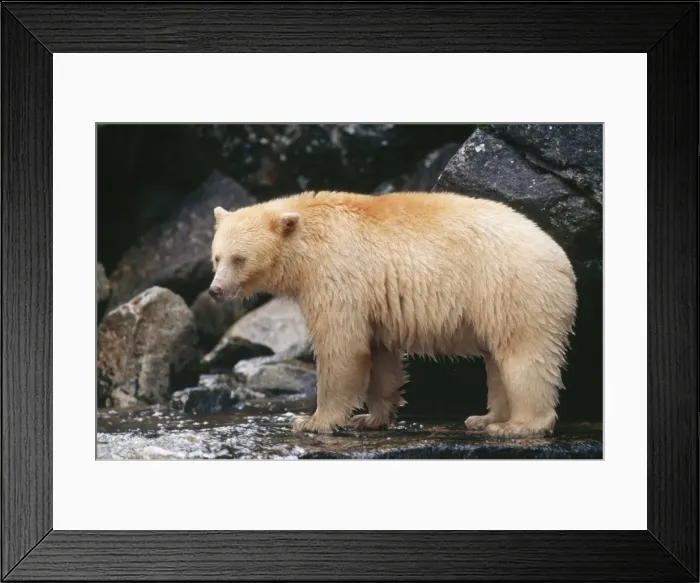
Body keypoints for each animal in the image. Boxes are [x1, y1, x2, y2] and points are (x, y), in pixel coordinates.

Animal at [208, 190, 577, 438]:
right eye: (216, 257)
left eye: (239, 258)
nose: (215, 290)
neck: (307, 238)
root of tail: (560, 257)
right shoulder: (373, 300)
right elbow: (380, 353)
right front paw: (371, 418)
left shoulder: (335, 274)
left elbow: (341, 345)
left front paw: (312, 421)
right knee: (497, 359)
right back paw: (486, 419)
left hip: (512, 286)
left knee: (523, 354)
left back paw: (518, 426)